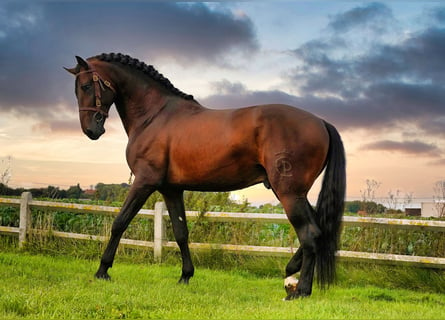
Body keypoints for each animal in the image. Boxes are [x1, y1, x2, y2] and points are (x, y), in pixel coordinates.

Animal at [64, 53, 346, 300]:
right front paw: (185, 276)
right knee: (318, 230)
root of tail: (321, 122)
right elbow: (181, 232)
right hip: (292, 192)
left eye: (87, 85)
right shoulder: (171, 189)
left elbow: (120, 222)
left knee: (310, 233)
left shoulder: (144, 182)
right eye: (76, 89)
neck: (155, 115)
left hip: (288, 193)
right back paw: (291, 274)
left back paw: (301, 290)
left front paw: (102, 271)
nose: (91, 130)